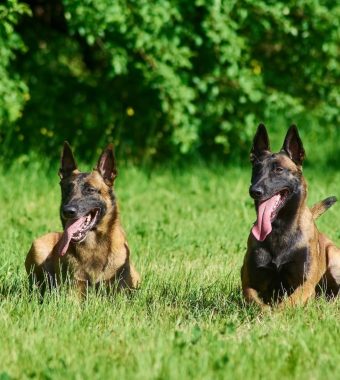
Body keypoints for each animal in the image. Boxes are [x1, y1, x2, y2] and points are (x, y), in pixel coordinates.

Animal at [24, 142, 139, 294]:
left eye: (90, 190)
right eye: (67, 189)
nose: (67, 211)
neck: (93, 245)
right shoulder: (74, 290)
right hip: (38, 246)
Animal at [242, 124, 340, 308]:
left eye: (279, 170)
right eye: (256, 169)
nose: (254, 191)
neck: (280, 228)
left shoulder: (305, 285)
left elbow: (287, 304)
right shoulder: (249, 284)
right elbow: (258, 303)